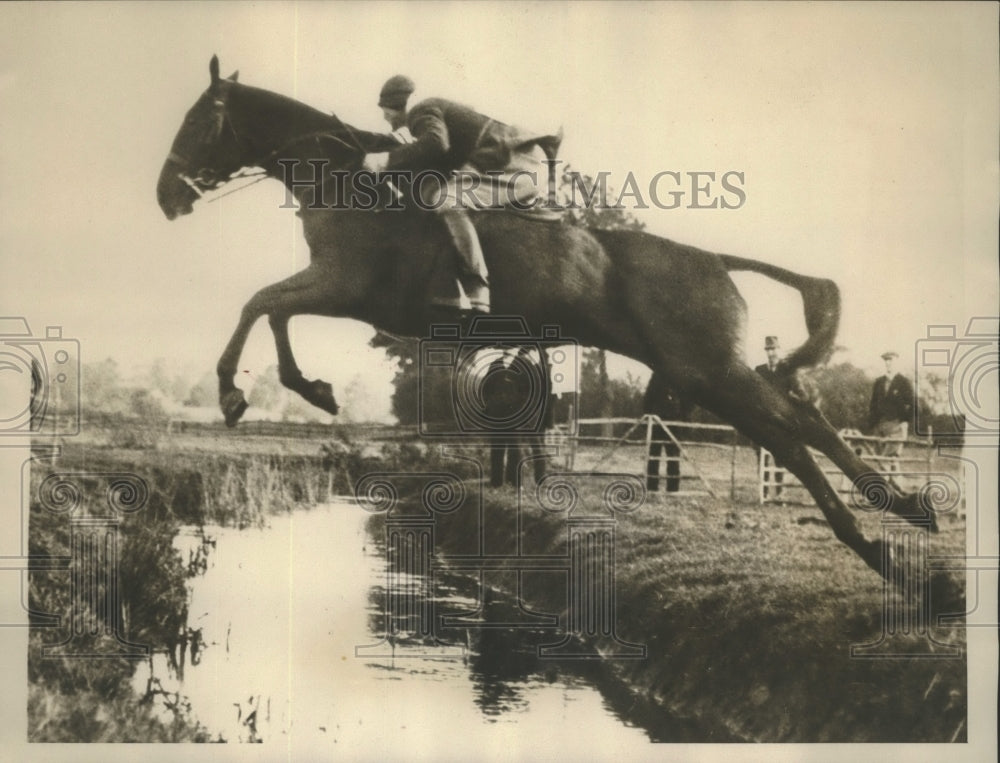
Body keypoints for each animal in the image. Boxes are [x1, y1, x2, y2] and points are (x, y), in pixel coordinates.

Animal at [156, 56, 944, 592]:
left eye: (199, 122)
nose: (166, 197)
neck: (344, 184)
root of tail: (714, 258)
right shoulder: (336, 290)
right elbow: (269, 309)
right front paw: (305, 389)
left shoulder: (344, 285)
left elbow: (260, 303)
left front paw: (241, 393)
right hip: (705, 370)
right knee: (802, 416)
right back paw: (901, 516)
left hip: (705, 370)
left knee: (788, 431)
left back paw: (881, 543)